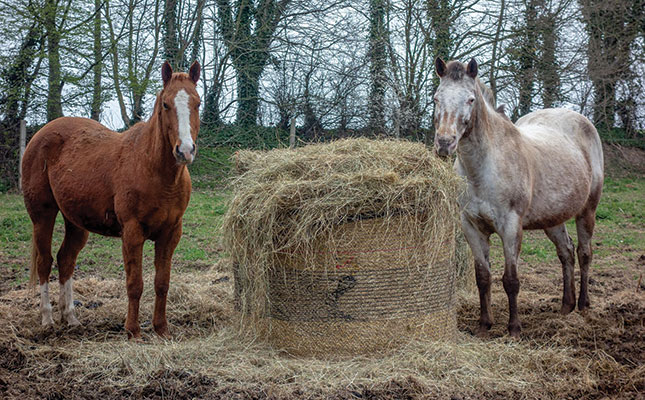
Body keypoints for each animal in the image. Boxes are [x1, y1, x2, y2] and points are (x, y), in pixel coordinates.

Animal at [22, 61, 200, 340]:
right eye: (165, 104)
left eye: (197, 103)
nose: (185, 151)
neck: (152, 169)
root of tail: (41, 134)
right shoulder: (132, 232)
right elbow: (135, 284)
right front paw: (133, 331)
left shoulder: (171, 233)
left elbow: (162, 283)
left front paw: (161, 329)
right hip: (42, 216)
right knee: (44, 262)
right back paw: (48, 319)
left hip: (76, 222)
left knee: (66, 260)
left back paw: (70, 318)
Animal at [432, 57, 604, 338]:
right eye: (436, 97)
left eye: (470, 99)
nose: (445, 144)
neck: (483, 169)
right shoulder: (471, 227)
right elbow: (483, 277)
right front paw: (484, 325)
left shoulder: (511, 227)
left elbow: (511, 280)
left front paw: (514, 328)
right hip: (553, 218)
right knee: (566, 252)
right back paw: (565, 307)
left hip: (587, 210)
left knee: (584, 253)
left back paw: (583, 305)